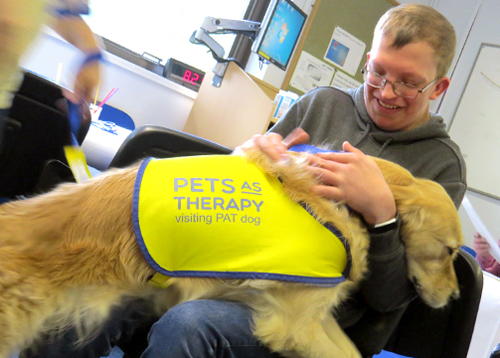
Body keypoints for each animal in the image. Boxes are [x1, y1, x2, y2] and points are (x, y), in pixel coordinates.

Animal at [0, 148, 464, 358]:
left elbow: (349, 346)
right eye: (448, 251)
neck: (342, 204)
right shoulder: (295, 324)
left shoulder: (313, 315)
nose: (457, 296)